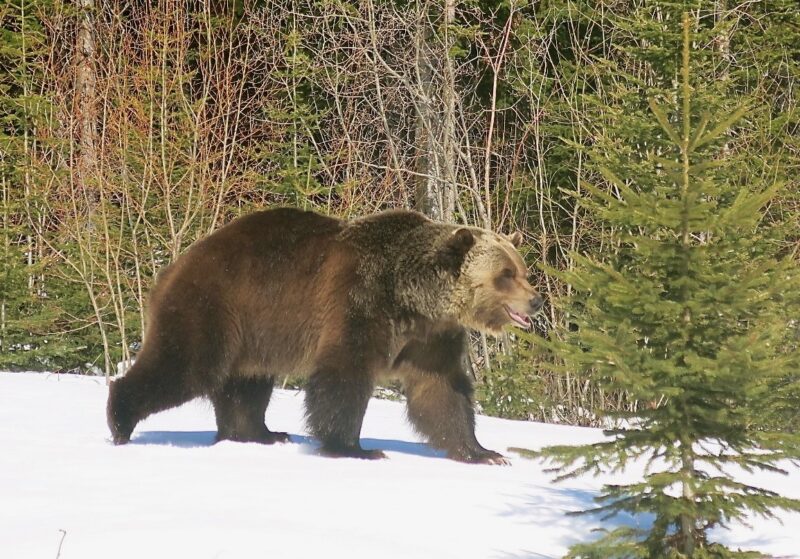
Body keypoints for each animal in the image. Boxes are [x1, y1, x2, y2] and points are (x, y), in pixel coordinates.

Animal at [107, 208, 543, 463]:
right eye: (505, 275)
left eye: (522, 269)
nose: (536, 301)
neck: (413, 298)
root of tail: (177, 264)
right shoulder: (360, 300)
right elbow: (344, 374)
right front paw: (355, 448)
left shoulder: (431, 337)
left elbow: (441, 391)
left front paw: (483, 452)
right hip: (216, 304)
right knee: (184, 365)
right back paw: (120, 422)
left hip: (255, 330)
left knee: (246, 385)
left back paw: (261, 434)